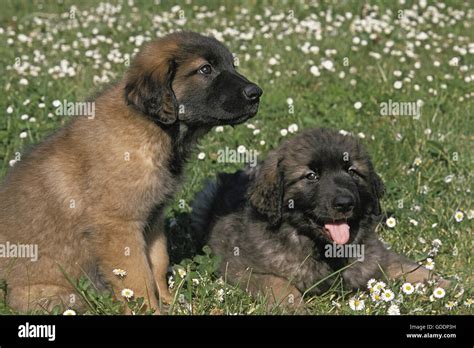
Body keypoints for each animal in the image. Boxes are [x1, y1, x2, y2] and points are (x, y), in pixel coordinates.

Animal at [0, 31, 262, 312]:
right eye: (205, 69)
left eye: (232, 65)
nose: (256, 93)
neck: (153, 128)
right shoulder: (119, 226)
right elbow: (138, 278)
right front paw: (151, 310)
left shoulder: (153, 217)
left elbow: (157, 262)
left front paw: (169, 301)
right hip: (52, 295)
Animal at [192, 128, 448, 310]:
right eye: (311, 176)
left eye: (352, 171)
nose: (345, 203)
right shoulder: (239, 269)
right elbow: (279, 284)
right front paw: (294, 308)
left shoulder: (377, 259)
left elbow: (411, 268)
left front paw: (446, 284)